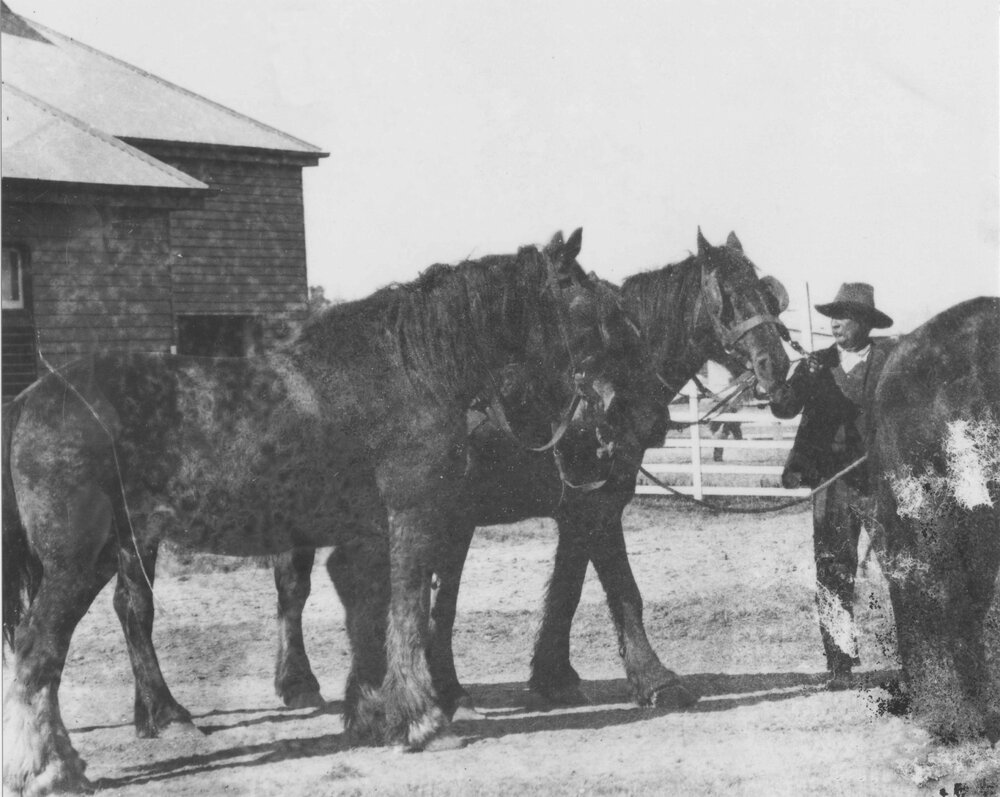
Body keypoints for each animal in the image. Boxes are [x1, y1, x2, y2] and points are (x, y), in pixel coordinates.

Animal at [2, 230, 642, 795]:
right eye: (589, 301)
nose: (619, 406)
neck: (409, 371)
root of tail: (29, 399)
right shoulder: (413, 519)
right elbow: (408, 613)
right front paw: (424, 721)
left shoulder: (368, 534)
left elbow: (369, 617)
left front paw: (373, 715)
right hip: (81, 561)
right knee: (38, 653)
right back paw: (51, 768)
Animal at [260, 229, 792, 714]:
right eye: (725, 300)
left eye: (766, 295)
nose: (776, 366)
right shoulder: (595, 507)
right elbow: (623, 591)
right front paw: (657, 680)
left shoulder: (579, 509)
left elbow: (567, 590)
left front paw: (554, 676)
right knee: (293, 587)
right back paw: (299, 682)